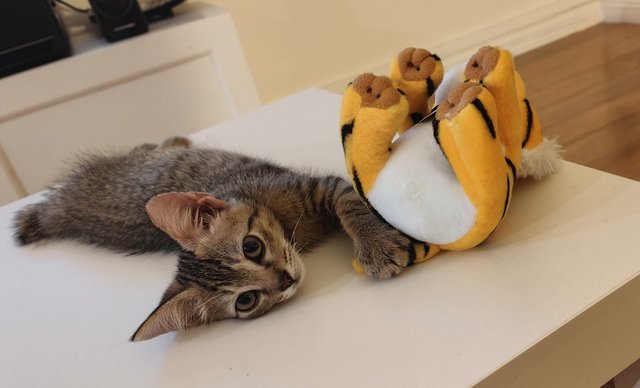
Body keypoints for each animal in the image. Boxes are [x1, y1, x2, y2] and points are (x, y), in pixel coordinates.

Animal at [15, 138, 416, 342]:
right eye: (246, 301)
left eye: (252, 246)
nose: (285, 280)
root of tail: (61, 208)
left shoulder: (315, 186)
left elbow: (349, 200)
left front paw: (375, 243)